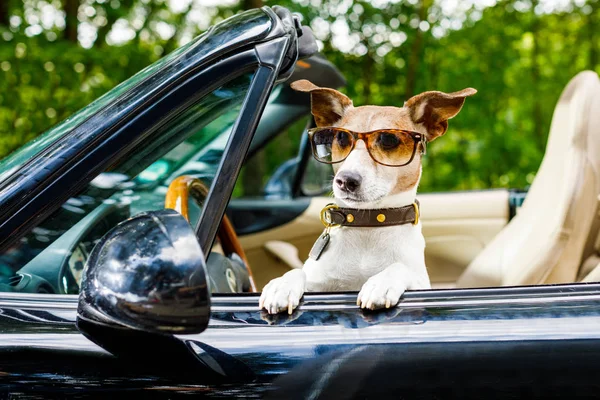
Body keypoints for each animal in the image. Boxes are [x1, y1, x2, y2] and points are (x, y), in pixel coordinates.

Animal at [260, 79, 476, 314]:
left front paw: (381, 283)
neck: (369, 224)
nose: (346, 180)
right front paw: (281, 284)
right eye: (341, 137)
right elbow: (299, 271)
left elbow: (400, 267)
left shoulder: (420, 283)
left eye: (389, 140)